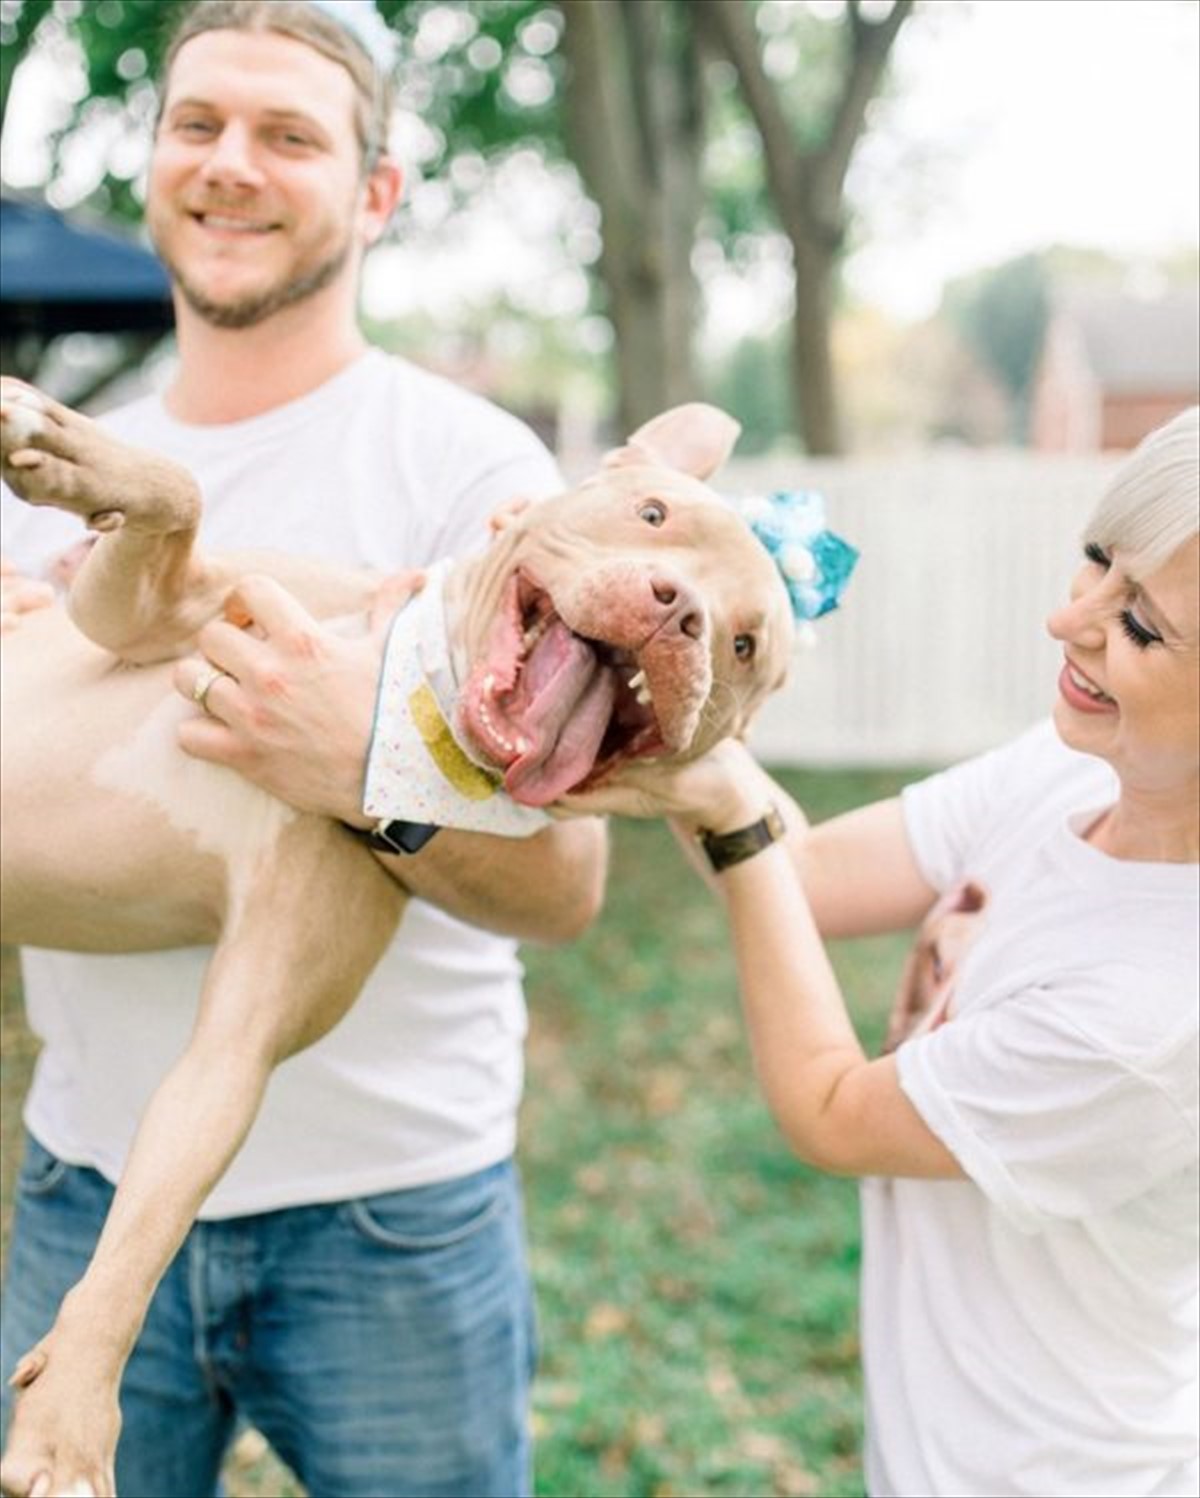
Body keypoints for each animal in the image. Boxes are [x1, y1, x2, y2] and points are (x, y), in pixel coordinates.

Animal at [0, 380, 797, 1492]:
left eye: (745, 647)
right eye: (653, 515)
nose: (681, 610)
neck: (402, 702)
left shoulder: (238, 1044)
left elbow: (149, 1223)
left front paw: (71, 1411)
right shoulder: (139, 608)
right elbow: (180, 490)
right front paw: (62, 442)